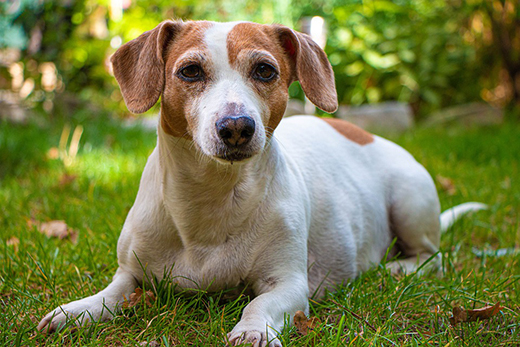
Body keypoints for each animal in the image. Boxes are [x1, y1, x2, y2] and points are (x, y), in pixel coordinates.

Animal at [37, 20, 488, 346]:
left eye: (265, 70)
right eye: (190, 71)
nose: (236, 126)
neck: (211, 198)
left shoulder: (288, 284)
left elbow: (260, 305)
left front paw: (251, 330)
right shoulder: (130, 273)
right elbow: (110, 294)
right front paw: (76, 311)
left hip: (410, 201)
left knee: (431, 258)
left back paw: (396, 267)